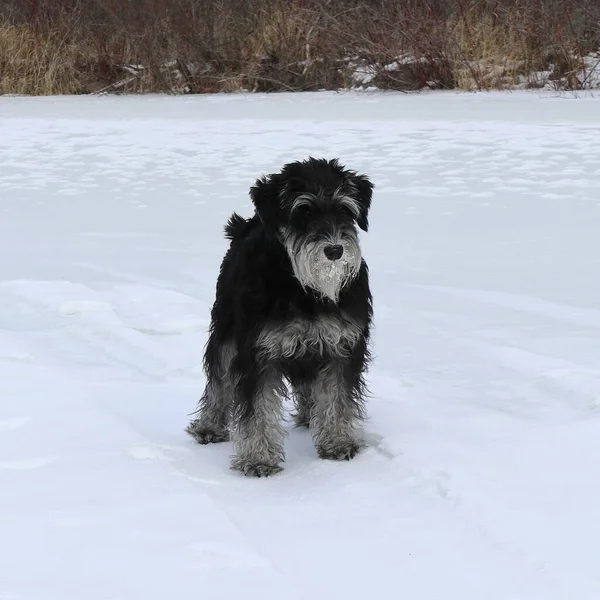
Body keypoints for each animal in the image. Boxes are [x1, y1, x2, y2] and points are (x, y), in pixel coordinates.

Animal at [188, 157, 376, 476]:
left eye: (344, 210)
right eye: (303, 211)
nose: (334, 250)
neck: (305, 290)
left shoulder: (342, 346)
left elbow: (337, 397)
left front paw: (338, 443)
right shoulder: (257, 352)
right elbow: (258, 409)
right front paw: (258, 459)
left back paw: (310, 414)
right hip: (225, 332)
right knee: (218, 380)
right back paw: (209, 426)